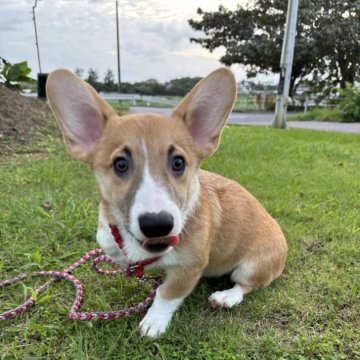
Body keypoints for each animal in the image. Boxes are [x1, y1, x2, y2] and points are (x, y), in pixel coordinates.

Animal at [46, 67, 286, 338]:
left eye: (178, 162)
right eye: (120, 164)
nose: (157, 225)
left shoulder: (190, 268)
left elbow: (166, 293)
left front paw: (154, 321)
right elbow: (111, 244)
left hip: (251, 266)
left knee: (245, 285)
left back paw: (227, 296)